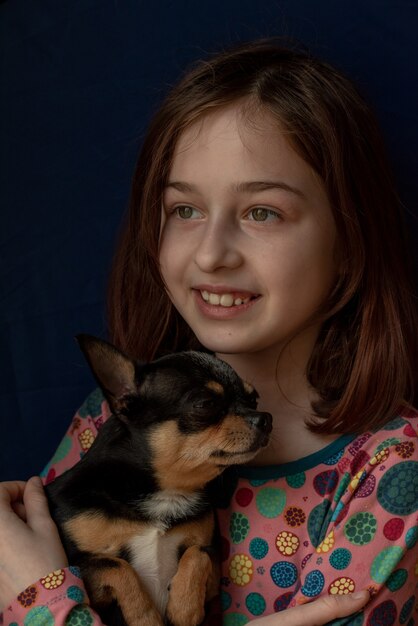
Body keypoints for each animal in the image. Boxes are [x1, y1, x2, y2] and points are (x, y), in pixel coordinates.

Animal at [45, 336, 272, 624]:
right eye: (205, 404)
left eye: (254, 399)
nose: (266, 418)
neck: (166, 492)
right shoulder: (76, 563)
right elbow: (115, 565)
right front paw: (145, 616)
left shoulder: (212, 565)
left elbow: (198, 554)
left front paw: (184, 607)